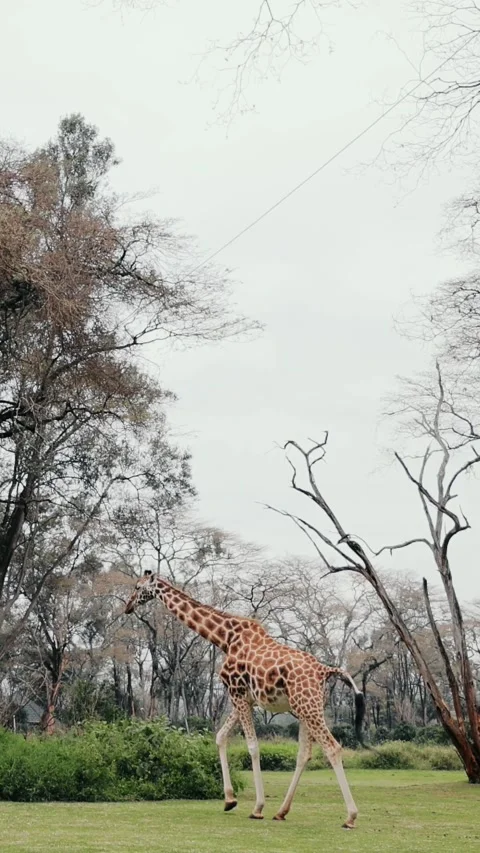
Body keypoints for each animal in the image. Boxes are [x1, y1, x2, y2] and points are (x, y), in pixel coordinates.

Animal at [124, 570, 365, 828]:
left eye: (138, 587)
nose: (128, 606)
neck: (225, 638)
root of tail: (324, 670)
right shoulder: (244, 698)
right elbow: (221, 737)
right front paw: (229, 800)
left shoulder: (236, 692)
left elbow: (252, 746)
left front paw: (257, 808)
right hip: (305, 709)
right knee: (304, 754)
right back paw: (281, 811)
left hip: (308, 707)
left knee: (332, 748)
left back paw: (350, 816)